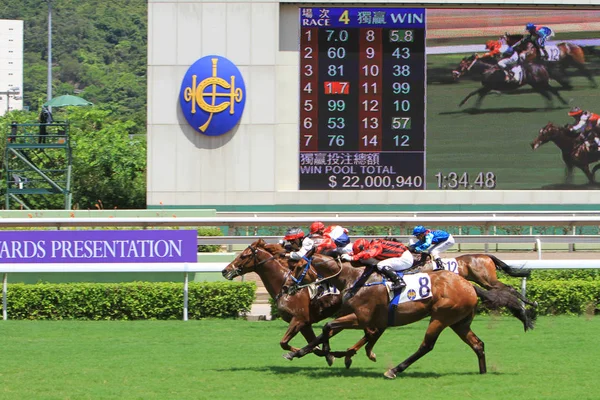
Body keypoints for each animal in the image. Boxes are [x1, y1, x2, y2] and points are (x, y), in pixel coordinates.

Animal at [286, 255, 536, 380]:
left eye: (297, 267)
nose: (288, 286)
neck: (355, 277)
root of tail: (469, 285)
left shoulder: (362, 318)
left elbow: (328, 326)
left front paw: (329, 353)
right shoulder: (364, 318)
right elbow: (328, 330)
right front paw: (302, 352)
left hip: (441, 317)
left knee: (426, 345)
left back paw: (395, 370)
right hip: (459, 322)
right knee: (478, 344)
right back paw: (483, 373)